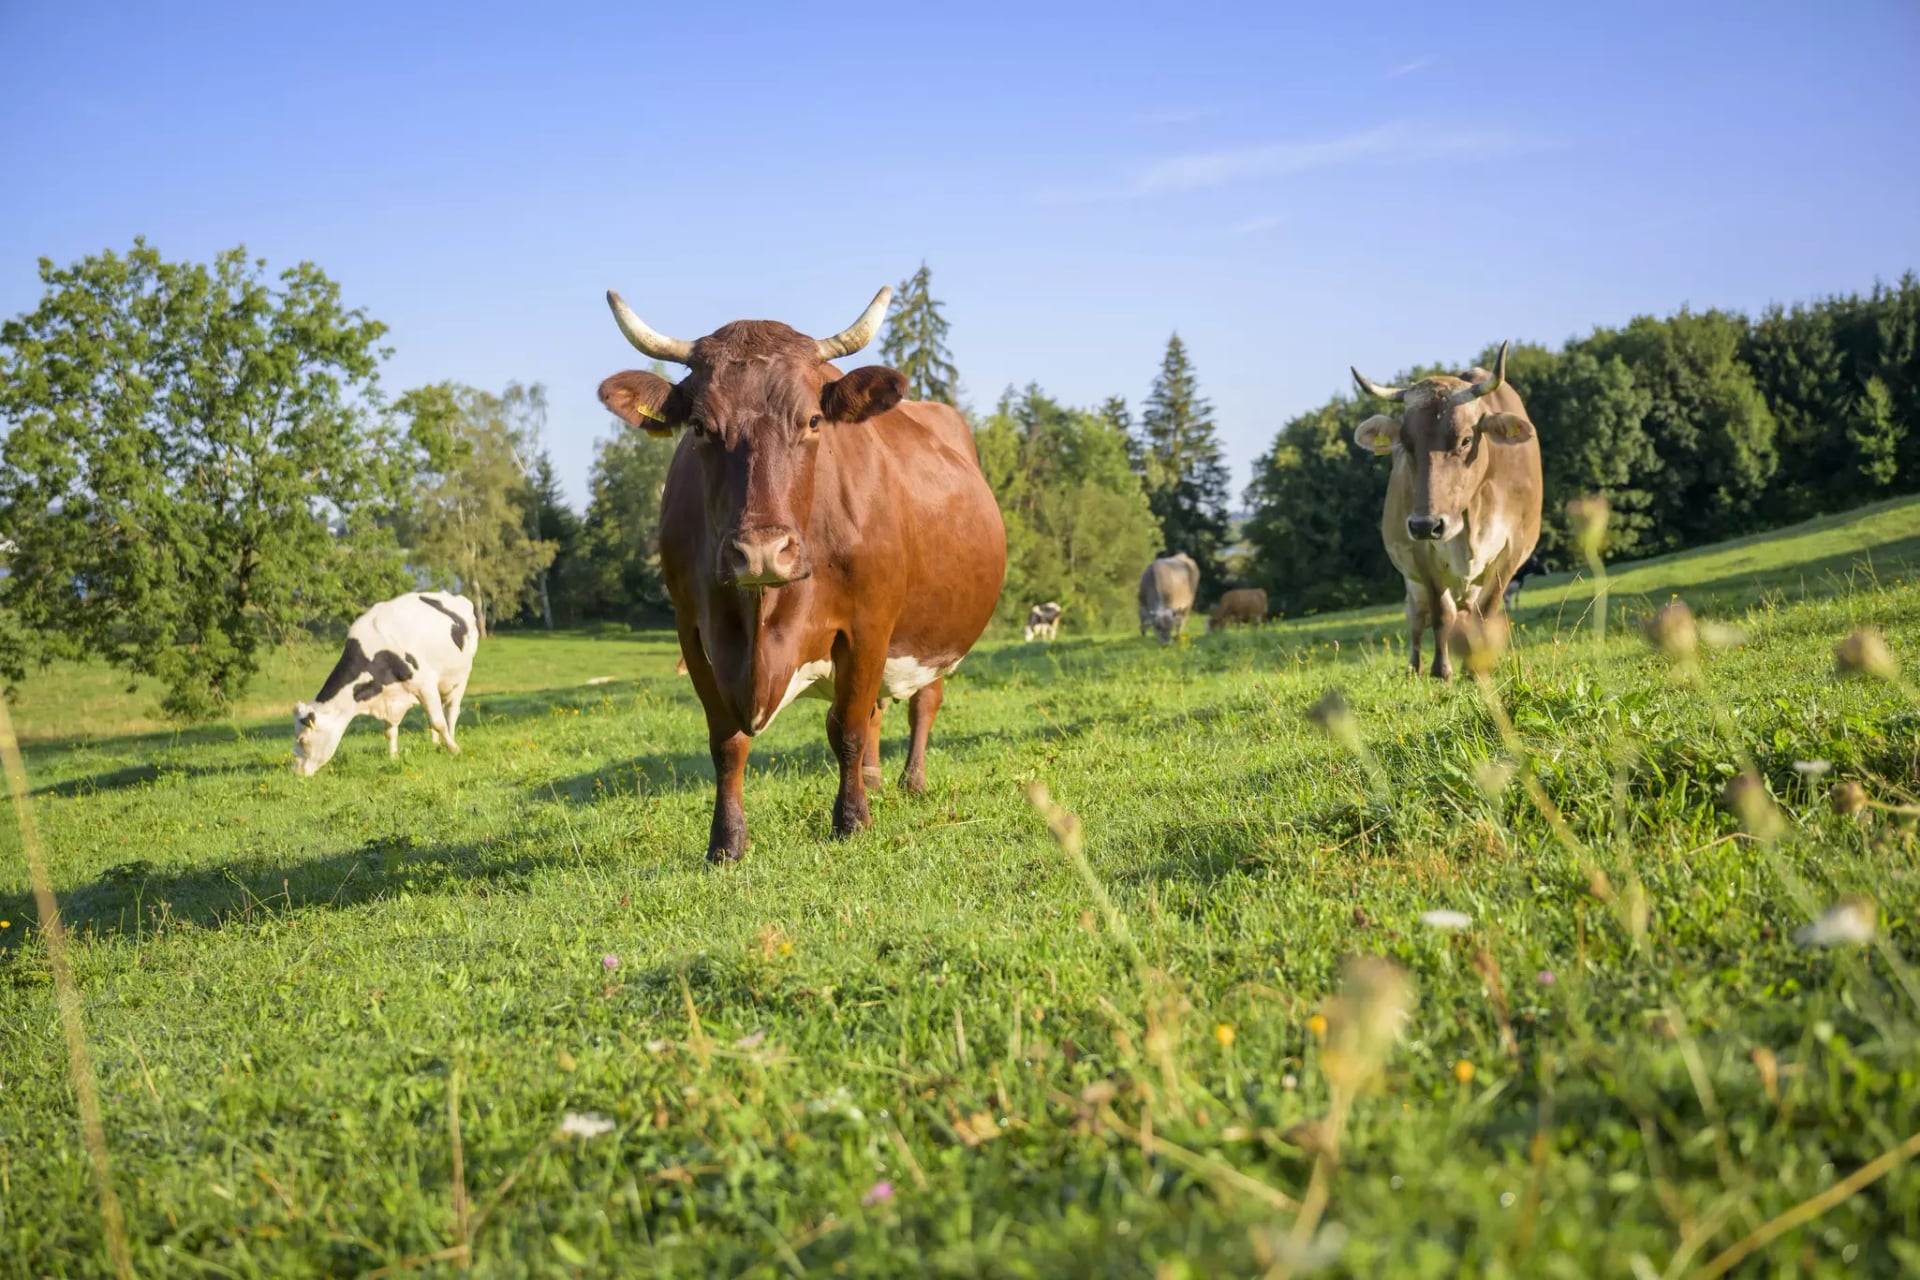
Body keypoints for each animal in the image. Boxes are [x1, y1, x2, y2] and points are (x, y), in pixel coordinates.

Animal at [293, 592, 478, 775]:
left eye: (302, 739)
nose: (295, 771)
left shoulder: (426, 685)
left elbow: (439, 722)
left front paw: (454, 749)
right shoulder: (390, 697)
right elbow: (390, 731)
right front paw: (394, 758)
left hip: (462, 675)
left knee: (451, 712)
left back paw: (451, 739)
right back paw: (435, 744)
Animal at [597, 286, 1008, 863]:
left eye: (813, 421)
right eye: (700, 426)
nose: (761, 552)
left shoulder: (868, 624)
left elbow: (847, 729)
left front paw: (852, 820)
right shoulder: (694, 632)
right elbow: (727, 743)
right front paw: (726, 843)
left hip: (935, 634)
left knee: (922, 702)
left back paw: (911, 781)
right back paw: (875, 779)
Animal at [1350, 342, 1542, 678]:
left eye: (1465, 440)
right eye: (1406, 445)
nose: (1426, 525)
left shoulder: (1511, 552)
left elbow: (1486, 613)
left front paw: (1476, 669)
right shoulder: (1422, 556)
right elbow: (1441, 614)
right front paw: (1442, 670)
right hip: (1413, 582)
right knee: (1419, 617)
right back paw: (1414, 668)